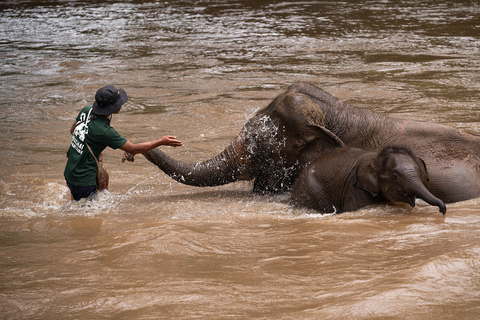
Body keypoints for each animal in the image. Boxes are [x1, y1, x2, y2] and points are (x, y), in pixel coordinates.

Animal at [290, 146, 448, 215]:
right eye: (395, 176)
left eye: (421, 174)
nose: (443, 210)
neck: (376, 156)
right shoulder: (355, 189)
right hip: (309, 192)